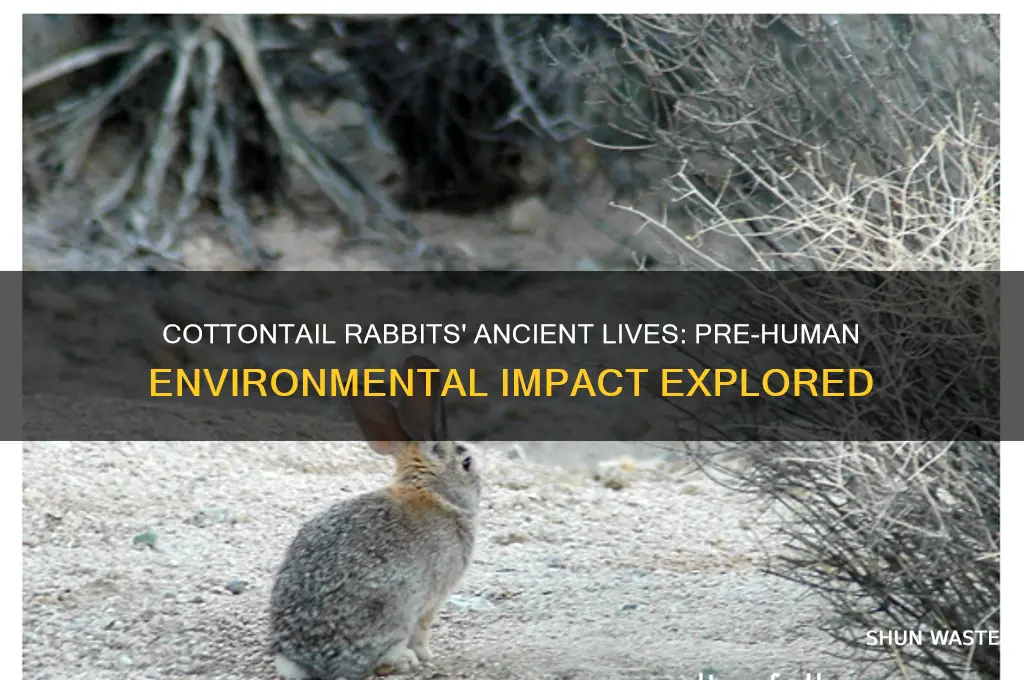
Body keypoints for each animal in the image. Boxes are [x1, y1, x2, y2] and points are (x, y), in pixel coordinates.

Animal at [268, 355, 482, 680]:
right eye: (467, 463)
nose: (481, 487)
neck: (432, 492)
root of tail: (308, 661)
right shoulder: (432, 599)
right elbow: (423, 630)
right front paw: (426, 655)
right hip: (397, 606)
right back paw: (405, 660)